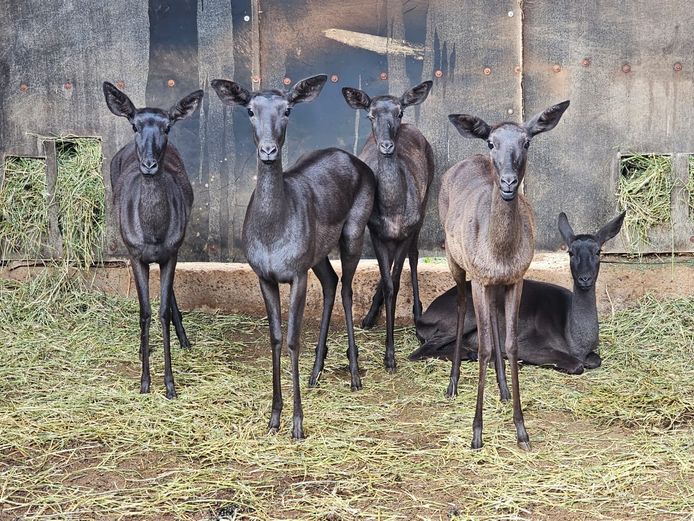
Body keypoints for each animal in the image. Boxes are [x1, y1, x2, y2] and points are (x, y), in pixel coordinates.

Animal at [102, 81, 202, 399]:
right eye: (134, 124)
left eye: (167, 126)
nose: (148, 164)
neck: (153, 233)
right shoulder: (135, 255)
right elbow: (144, 312)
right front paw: (145, 382)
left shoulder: (172, 251)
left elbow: (161, 311)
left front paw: (170, 384)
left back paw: (184, 338)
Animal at [211, 75, 375, 439]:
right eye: (250, 110)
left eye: (287, 110)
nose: (268, 150)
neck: (273, 233)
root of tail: (358, 161)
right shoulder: (265, 275)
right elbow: (274, 338)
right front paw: (274, 417)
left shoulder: (297, 273)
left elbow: (293, 339)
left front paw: (297, 423)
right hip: (317, 253)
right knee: (331, 282)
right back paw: (315, 373)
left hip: (354, 231)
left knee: (346, 289)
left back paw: (355, 375)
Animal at [336, 81, 435, 373]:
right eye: (370, 115)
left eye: (400, 112)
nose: (387, 145)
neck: (393, 211)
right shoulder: (376, 232)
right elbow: (389, 281)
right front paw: (387, 353)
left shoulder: (406, 232)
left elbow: (397, 282)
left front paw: (390, 357)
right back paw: (370, 316)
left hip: (426, 199)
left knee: (414, 256)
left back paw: (418, 314)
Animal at [410, 212, 626, 374]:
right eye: (571, 252)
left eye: (598, 251)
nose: (584, 278)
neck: (574, 339)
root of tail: (424, 318)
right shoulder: (528, 342)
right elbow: (576, 364)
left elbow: (595, 359)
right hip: (465, 316)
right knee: (418, 352)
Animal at [440, 100, 570, 449]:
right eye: (491, 142)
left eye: (526, 142)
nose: (509, 183)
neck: (499, 251)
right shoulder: (478, 277)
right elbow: (483, 347)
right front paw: (476, 433)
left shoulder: (516, 278)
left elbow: (511, 343)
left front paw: (522, 430)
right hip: (454, 260)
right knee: (460, 306)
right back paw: (452, 384)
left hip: (494, 284)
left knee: (496, 318)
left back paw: (503, 388)